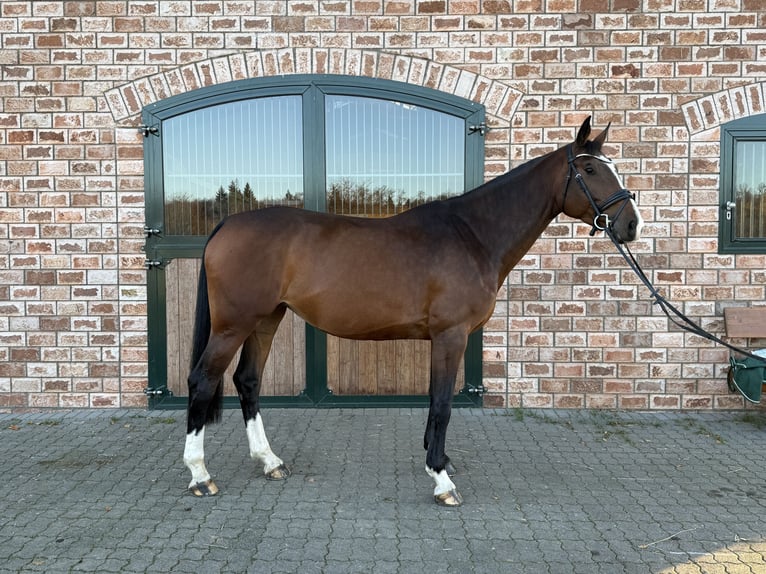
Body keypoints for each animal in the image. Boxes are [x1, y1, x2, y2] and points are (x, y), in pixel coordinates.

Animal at [183, 116, 644, 506]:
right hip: (233, 325)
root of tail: (227, 225)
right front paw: (441, 479)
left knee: (248, 380)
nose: (631, 225)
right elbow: (442, 404)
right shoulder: (450, 335)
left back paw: (270, 462)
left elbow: (436, 401)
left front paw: (438, 460)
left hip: (266, 319)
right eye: (589, 170)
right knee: (203, 380)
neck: (473, 235)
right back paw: (200, 474)